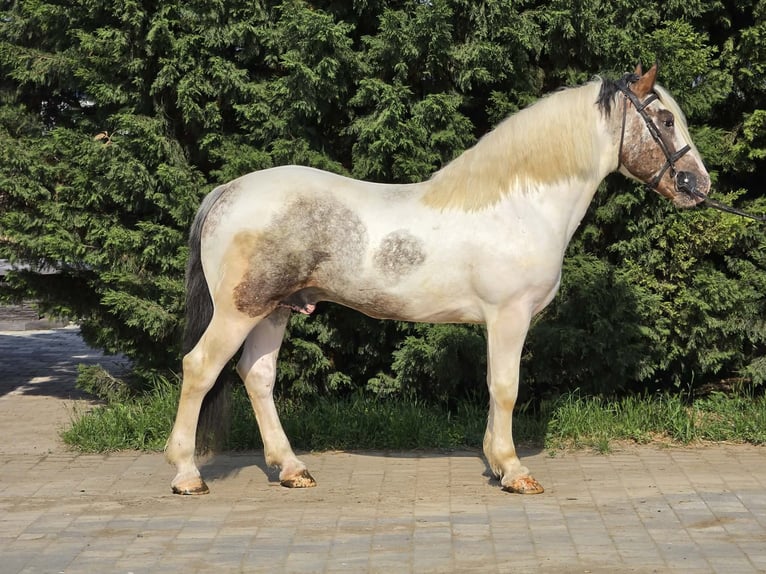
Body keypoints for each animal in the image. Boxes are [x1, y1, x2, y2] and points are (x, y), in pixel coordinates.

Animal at [166, 64, 710, 495]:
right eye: (665, 120)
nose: (699, 186)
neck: (520, 205)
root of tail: (228, 192)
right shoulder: (509, 315)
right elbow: (506, 387)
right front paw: (514, 471)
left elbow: (494, 388)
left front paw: (496, 464)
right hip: (239, 311)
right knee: (200, 368)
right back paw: (187, 475)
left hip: (276, 309)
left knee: (257, 377)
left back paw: (291, 469)